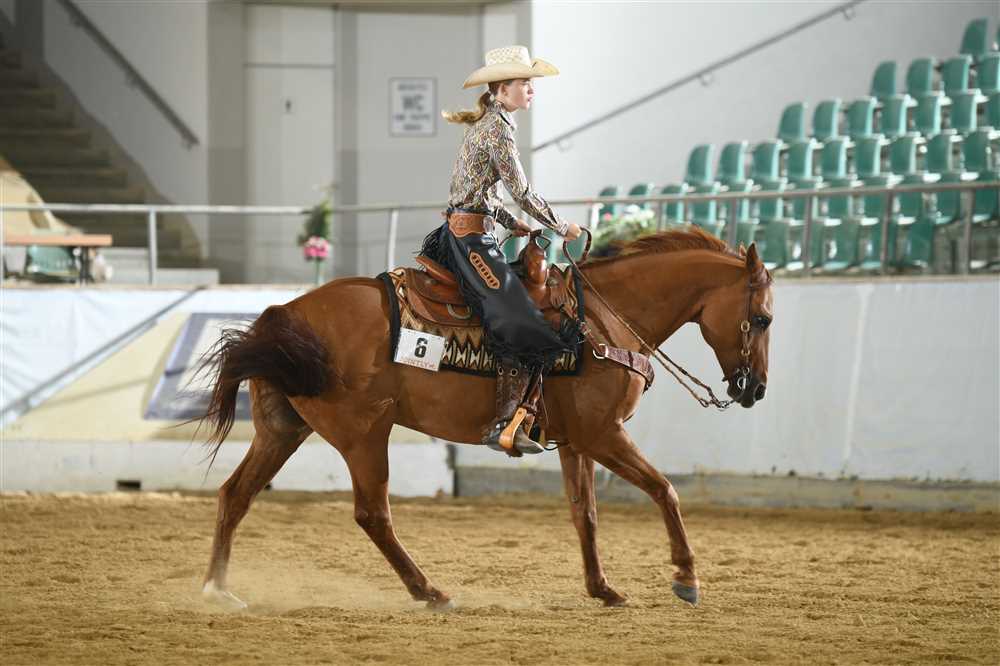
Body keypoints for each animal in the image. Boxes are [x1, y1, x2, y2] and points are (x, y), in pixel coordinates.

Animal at [196, 228, 773, 611]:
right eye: (763, 318)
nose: (756, 390)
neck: (605, 320)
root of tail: (283, 314)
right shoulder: (604, 434)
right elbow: (664, 490)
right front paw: (687, 578)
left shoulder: (576, 442)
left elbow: (584, 512)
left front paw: (602, 589)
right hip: (365, 434)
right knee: (373, 514)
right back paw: (430, 591)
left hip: (283, 430)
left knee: (235, 495)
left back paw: (218, 589)